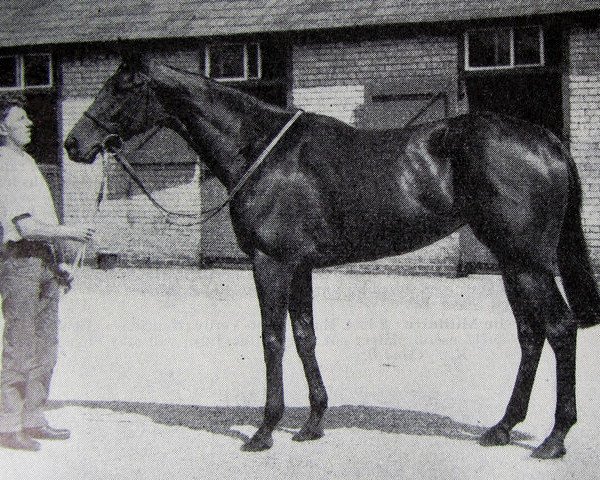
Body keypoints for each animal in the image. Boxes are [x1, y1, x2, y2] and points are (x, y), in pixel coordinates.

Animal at [64, 56, 600, 458]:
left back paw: (554, 438)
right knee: (530, 336)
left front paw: (264, 430)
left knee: (559, 329)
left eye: (120, 88)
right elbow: (305, 336)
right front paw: (313, 422)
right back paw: (502, 428)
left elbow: (273, 339)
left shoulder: (270, 262)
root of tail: (547, 142)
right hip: (512, 262)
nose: (74, 143)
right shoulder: (299, 266)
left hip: (528, 264)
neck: (259, 149)